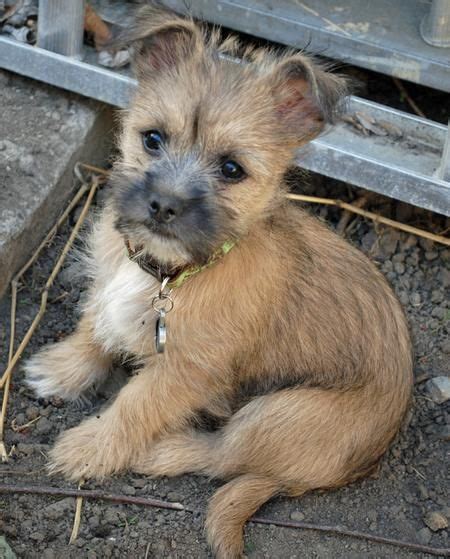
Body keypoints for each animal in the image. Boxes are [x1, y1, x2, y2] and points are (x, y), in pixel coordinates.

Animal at [23, 5, 412, 559]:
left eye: (232, 168)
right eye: (152, 139)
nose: (163, 205)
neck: (172, 273)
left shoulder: (183, 370)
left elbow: (132, 408)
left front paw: (90, 447)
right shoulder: (107, 282)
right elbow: (95, 325)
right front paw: (63, 369)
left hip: (281, 414)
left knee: (223, 458)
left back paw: (162, 451)